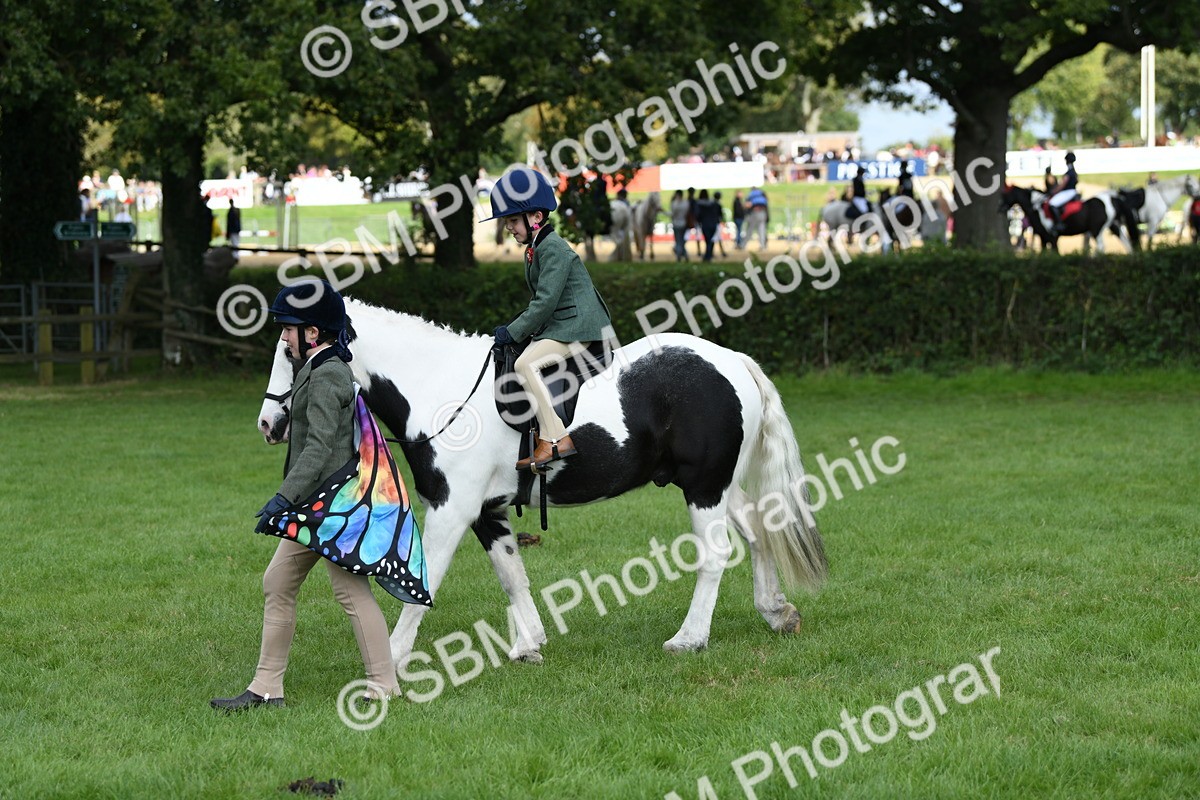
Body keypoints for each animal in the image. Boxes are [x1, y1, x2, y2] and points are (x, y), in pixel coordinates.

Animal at [258, 299, 828, 671]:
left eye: (290, 351)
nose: (268, 423)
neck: (441, 391)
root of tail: (732, 361)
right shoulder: (487, 512)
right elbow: (513, 578)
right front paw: (528, 643)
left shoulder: (450, 510)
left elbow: (426, 582)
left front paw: (393, 658)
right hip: (717, 486)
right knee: (759, 529)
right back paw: (775, 612)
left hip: (703, 487)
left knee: (716, 554)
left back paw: (689, 639)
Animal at [997, 184, 1138, 255]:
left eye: (1005, 195)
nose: (999, 209)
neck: (1037, 208)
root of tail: (1113, 198)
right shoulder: (1043, 237)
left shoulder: (1052, 237)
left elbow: (1056, 253)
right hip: (1114, 226)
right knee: (1127, 243)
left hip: (1096, 230)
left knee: (1101, 247)